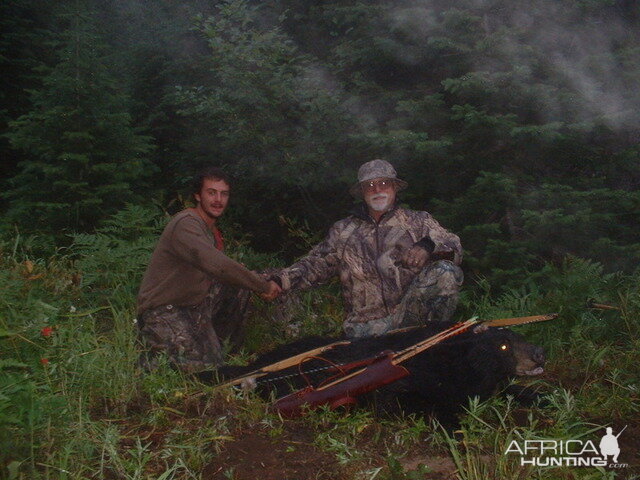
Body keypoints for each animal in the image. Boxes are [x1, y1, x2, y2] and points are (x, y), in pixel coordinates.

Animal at [210, 324, 544, 426]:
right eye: (503, 345)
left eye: (520, 335)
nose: (539, 353)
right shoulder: (403, 387)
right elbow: (420, 403)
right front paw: (456, 427)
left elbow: (511, 390)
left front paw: (542, 396)